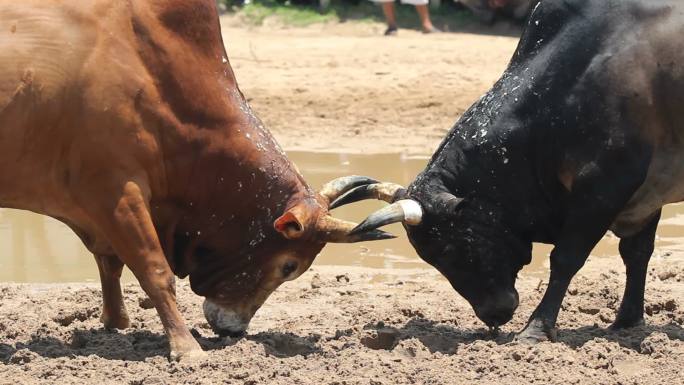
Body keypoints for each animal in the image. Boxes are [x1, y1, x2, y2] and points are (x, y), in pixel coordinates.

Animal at [0, 0, 390, 360]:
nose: (234, 331)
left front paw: (116, 321)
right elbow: (155, 270)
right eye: (289, 265)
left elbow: (111, 262)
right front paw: (186, 348)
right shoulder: (116, 191)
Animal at [336, 0, 684, 342]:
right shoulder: (646, 194)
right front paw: (626, 321)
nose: (492, 316)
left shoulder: (606, 186)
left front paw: (536, 329)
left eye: (447, 248)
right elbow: (636, 254)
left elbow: (565, 259)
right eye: (427, 256)